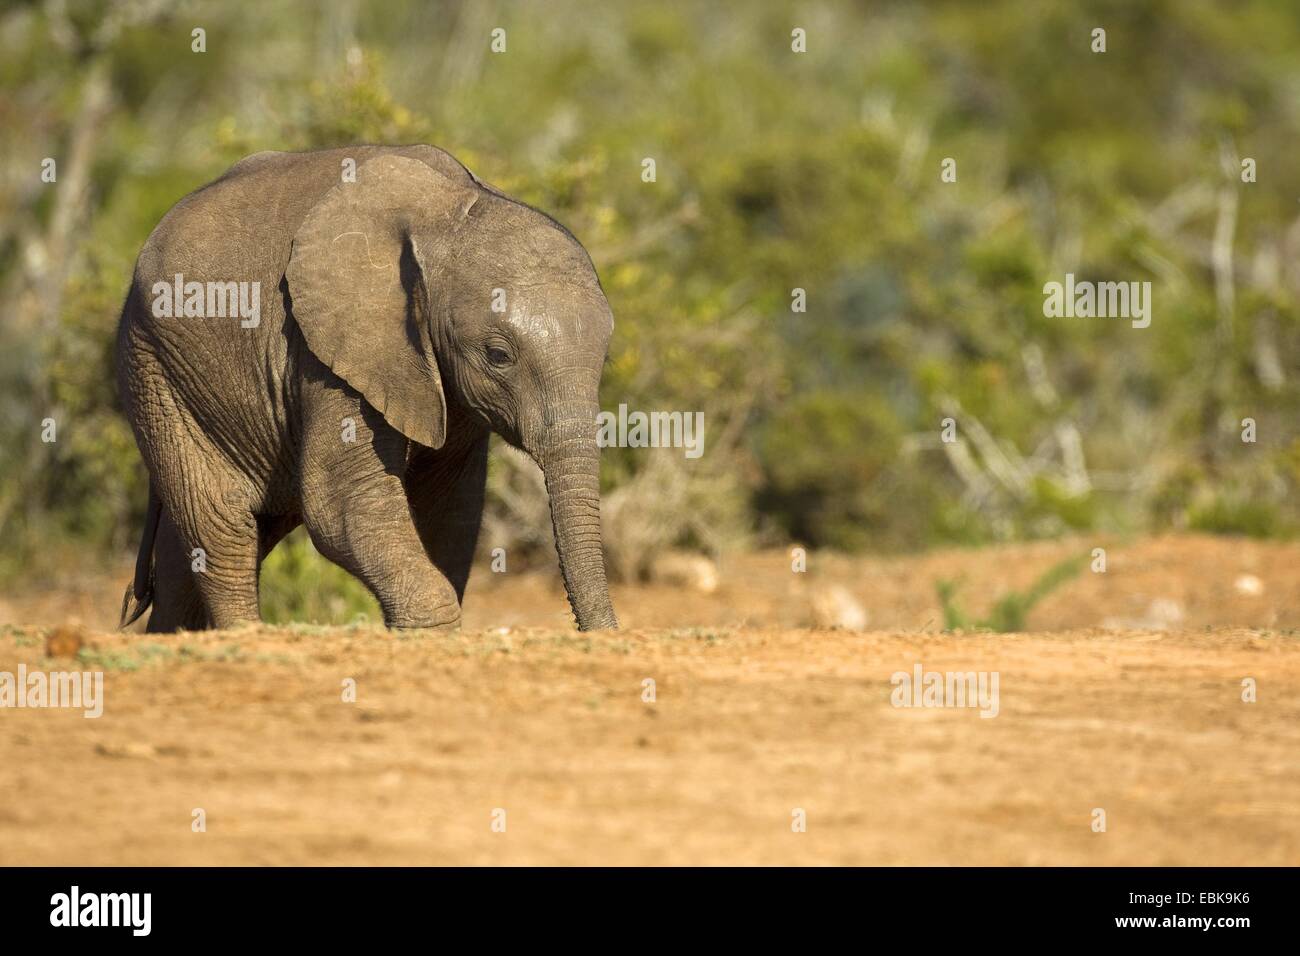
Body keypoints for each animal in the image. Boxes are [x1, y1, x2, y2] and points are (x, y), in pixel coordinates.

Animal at [114, 143, 616, 629]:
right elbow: (341, 506)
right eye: (498, 356)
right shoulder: (327, 349)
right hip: (157, 369)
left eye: (605, 358)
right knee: (222, 523)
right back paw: (246, 633)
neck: (450, 213)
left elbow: (450, 512)